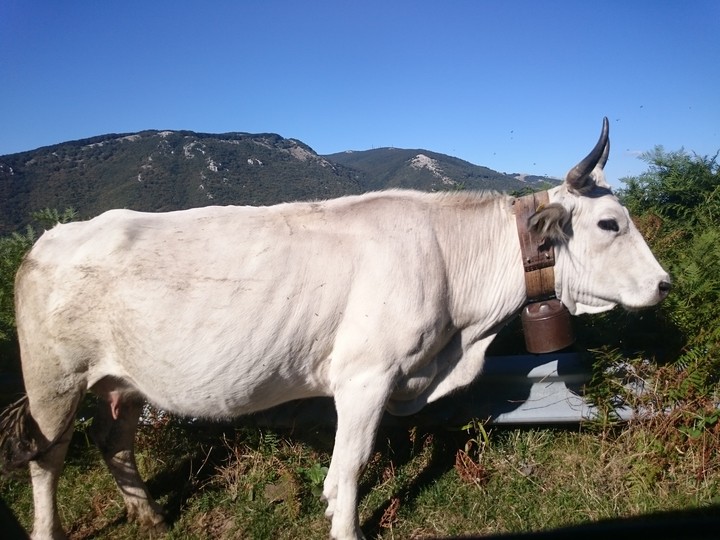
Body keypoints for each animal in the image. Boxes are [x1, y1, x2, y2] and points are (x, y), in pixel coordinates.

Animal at [0, 118, 670, 539]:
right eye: (609, 223)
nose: (665, 284)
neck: (459, 342)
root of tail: (48, 239)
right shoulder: (365, 376)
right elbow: (351, 461)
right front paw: (345, 526)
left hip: (122, 382)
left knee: (113, 442)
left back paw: (153, 519)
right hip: (53, 379)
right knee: (49, 457)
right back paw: (49, 530)